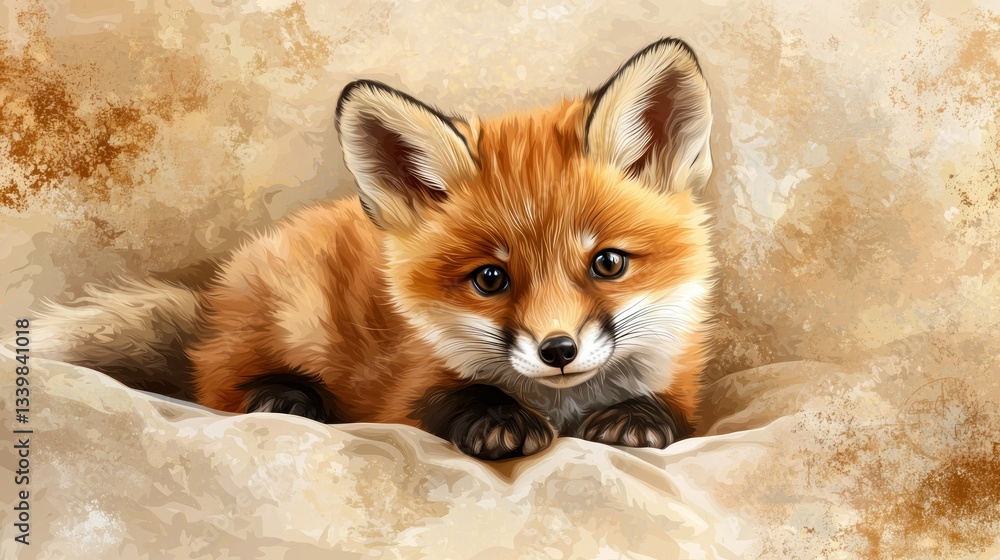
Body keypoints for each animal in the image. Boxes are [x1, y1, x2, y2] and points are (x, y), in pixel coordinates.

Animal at [31, 38, 717, 461]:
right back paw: (284, 396)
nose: (558, 350)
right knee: (216, 380)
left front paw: (635, 418)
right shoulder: (403, 390)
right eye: (490, 279)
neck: (562, 402)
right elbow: (452, 395)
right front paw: (498, 419)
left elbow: (672, 409)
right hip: (290, 323)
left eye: (608, 263)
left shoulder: (683, 382)